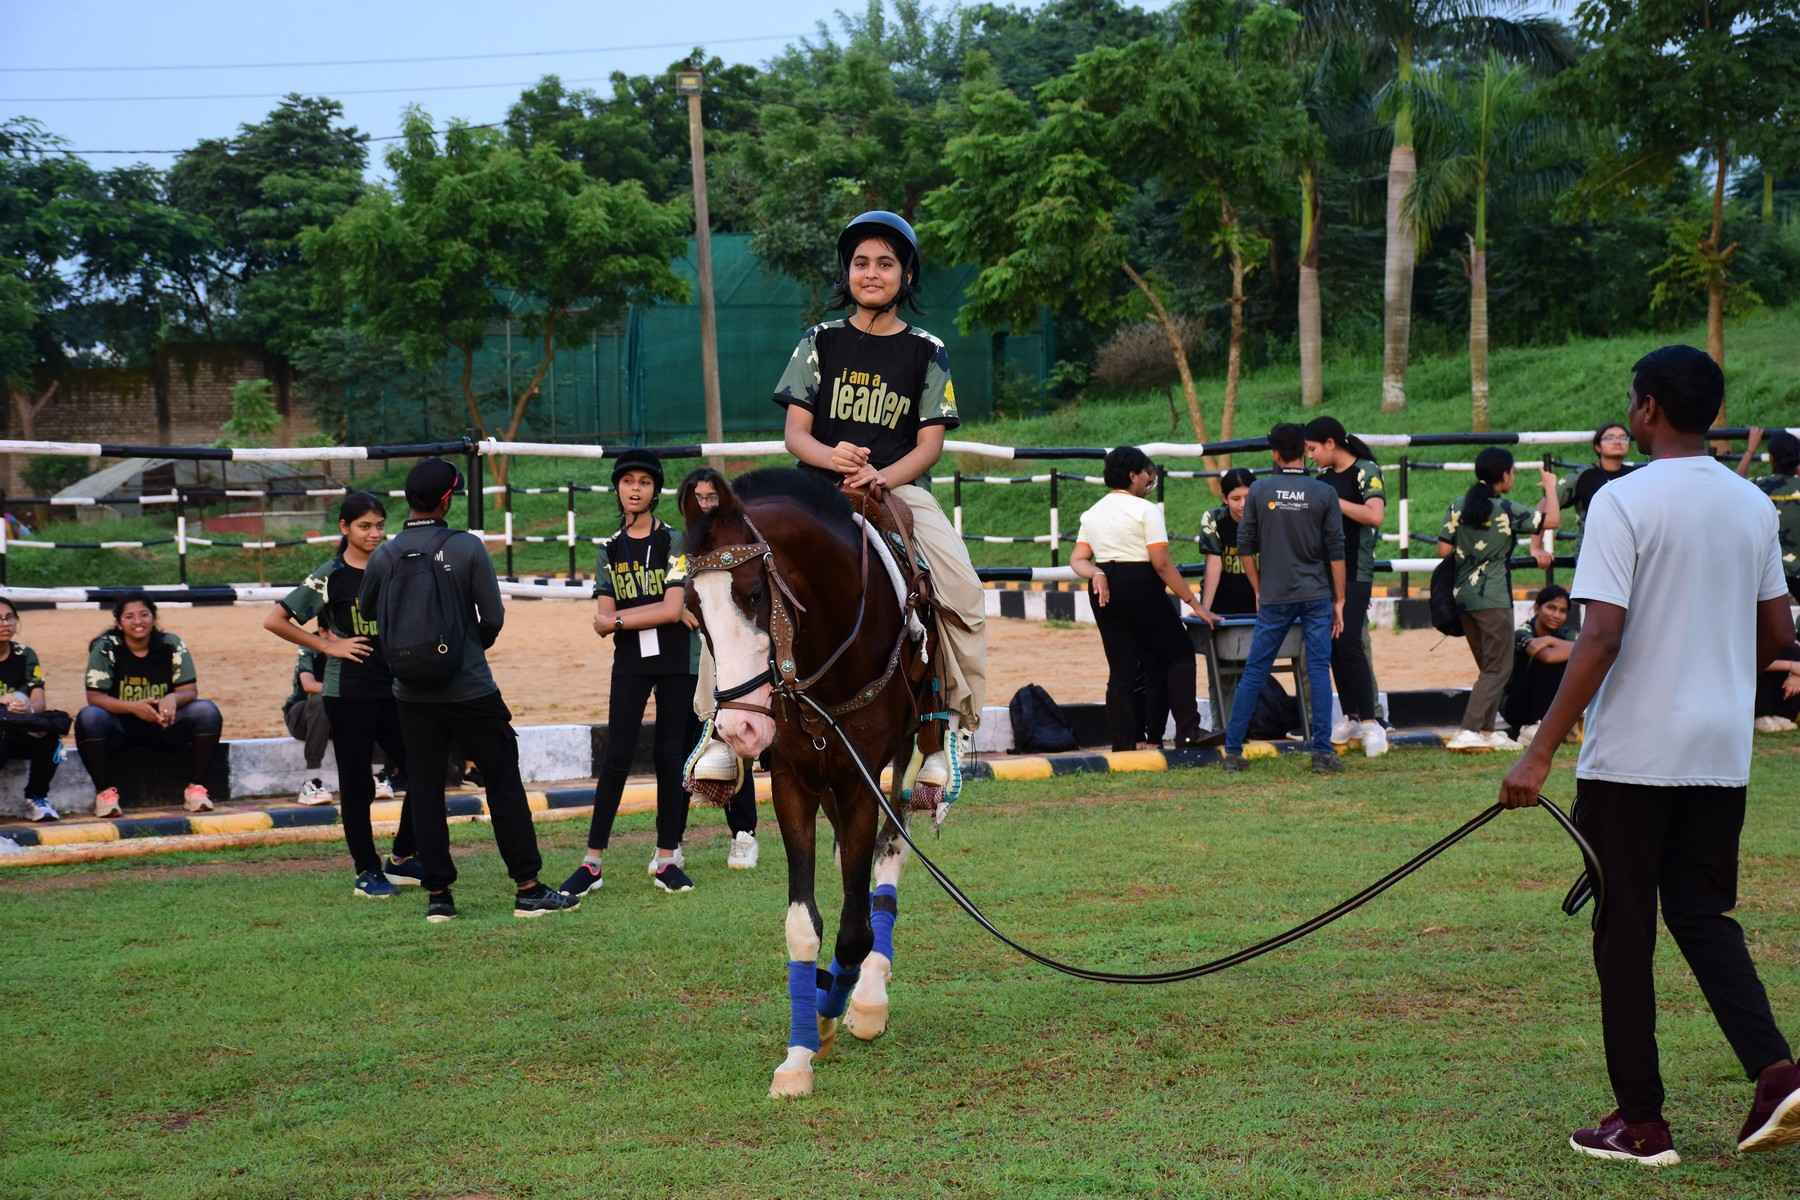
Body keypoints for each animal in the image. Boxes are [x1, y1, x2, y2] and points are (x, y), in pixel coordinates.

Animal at [680, 467, 944, 1099]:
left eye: (753, 593)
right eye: (694, 608)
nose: (742, 728)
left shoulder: (859, 779)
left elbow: (853, 929)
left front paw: (835, 1009)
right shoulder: (795, 781)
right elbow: (804, 925)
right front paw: (799, 1052)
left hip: (904, 755)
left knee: (890, 852)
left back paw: (868, 998)